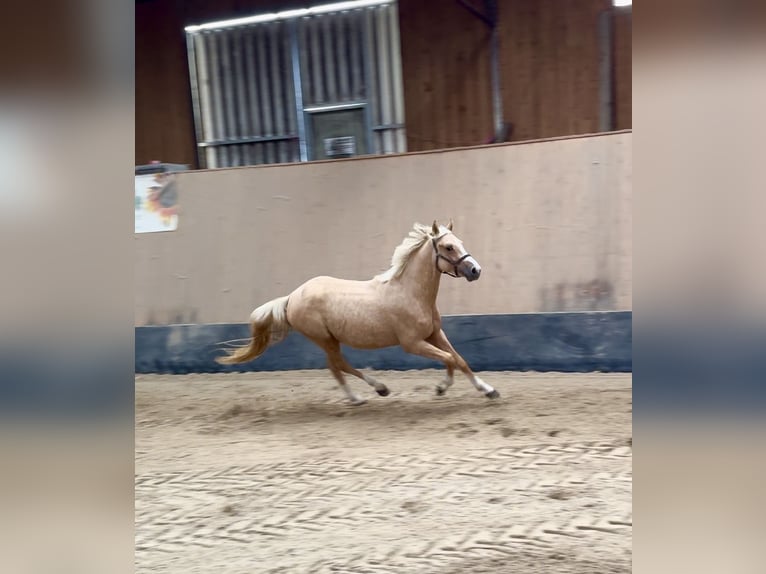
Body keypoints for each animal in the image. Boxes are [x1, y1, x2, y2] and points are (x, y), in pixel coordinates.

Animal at [219, 220, 500, 404]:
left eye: (460, 242)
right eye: (449, 247)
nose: (476, 270)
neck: (411, 293)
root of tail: (292, 297)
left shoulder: (434, 334)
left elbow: (459, 359)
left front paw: (487, 390)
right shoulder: (413, 343)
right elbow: (449, 358)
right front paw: (442, 388)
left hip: (329, 339)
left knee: (335, 366)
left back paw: (366, 393)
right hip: (324, 338)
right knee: (338, 365)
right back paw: (369, 393)